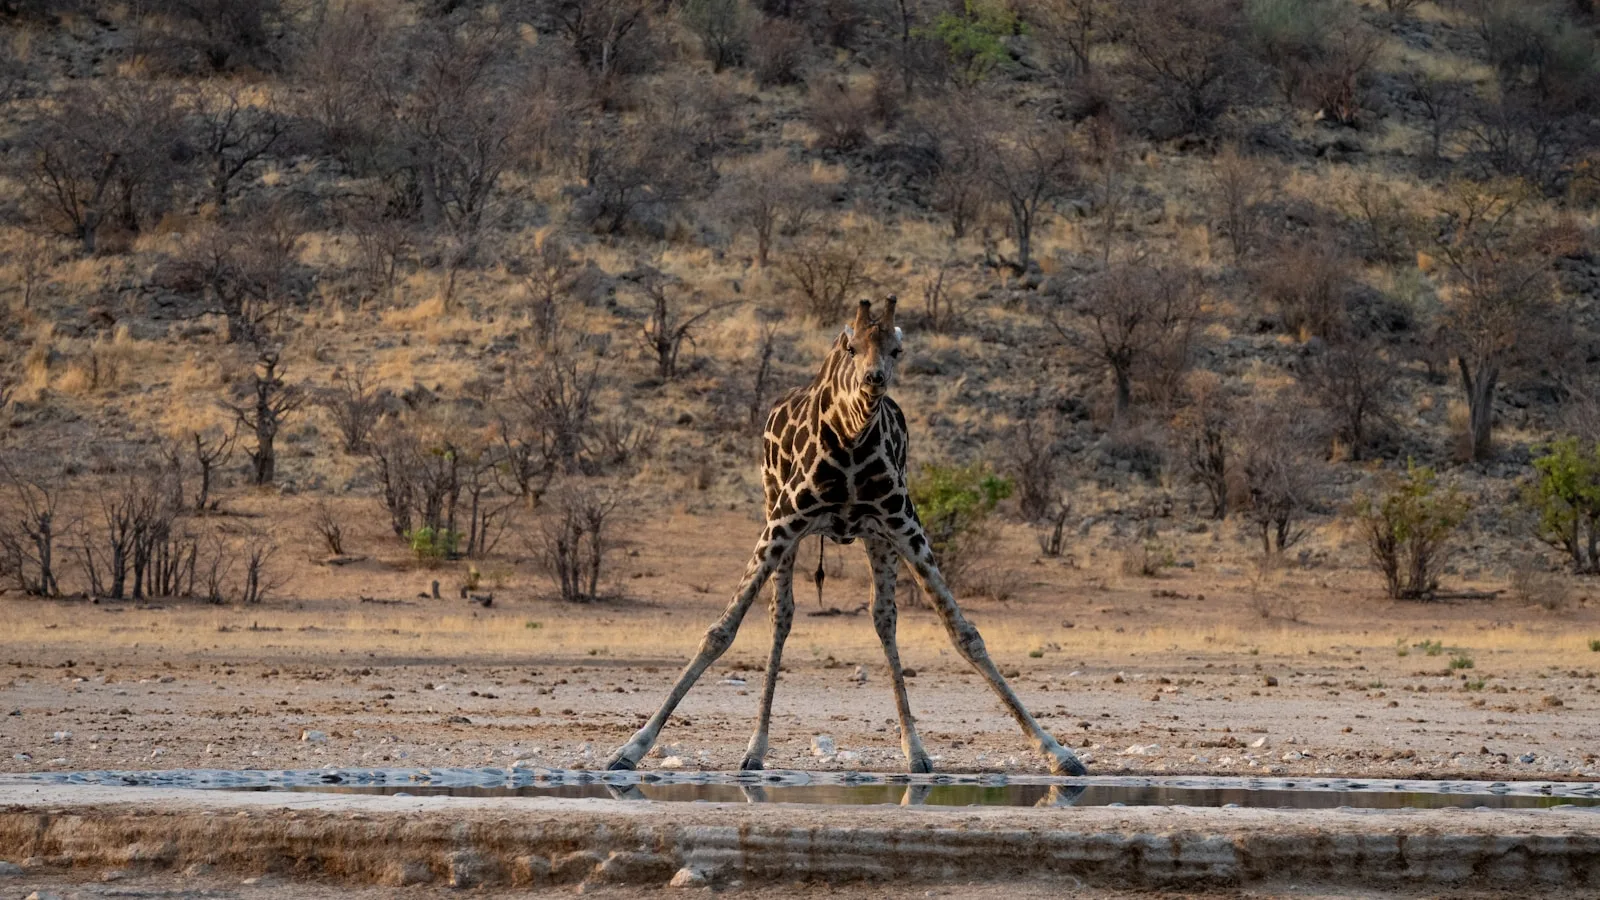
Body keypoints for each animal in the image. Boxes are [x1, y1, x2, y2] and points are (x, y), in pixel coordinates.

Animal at [605, 297, 1087, 776]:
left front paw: (1057, 751)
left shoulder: (904, 523)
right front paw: (631, 747)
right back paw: (756, 748)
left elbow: (964, 632)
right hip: (775, 511)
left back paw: (915, 750)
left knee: (883, 617)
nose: (875, 379)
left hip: (877, 537)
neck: (852, 440)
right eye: (853, 348)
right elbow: (720, 631)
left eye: (896, 350)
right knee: (782, 615)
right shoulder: (782, 523)